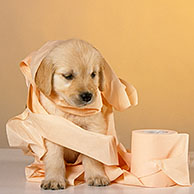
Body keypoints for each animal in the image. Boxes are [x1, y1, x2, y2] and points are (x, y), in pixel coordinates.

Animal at [34, 39, 110, 189]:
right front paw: (54, 179)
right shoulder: (52, 129)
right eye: (68, 76)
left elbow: (93, 155)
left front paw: (96, 176)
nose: (87, 96)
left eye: (93, 74)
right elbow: (54, 158)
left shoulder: (93, 128)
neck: (72, 110)